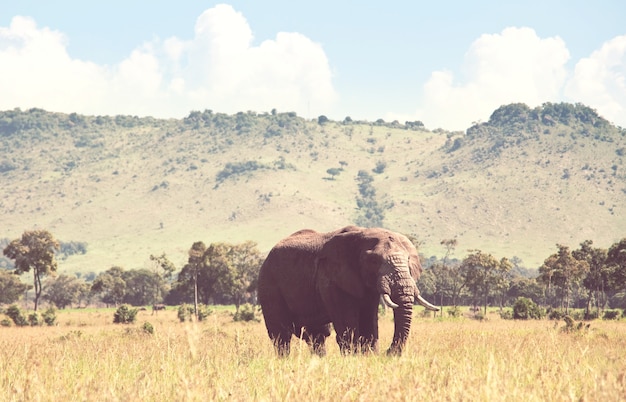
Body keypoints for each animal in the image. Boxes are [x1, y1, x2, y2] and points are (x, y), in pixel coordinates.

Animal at [256, 225, 436, 356]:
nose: (387, 352)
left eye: (408, 260)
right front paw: (354, 358)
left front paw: (369, 356)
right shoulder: (331, 279)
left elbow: (368, 321)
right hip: (268, 285)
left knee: (317, 335)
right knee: (281, 336)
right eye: (374, 261)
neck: (361, 234)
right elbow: (347, 324)